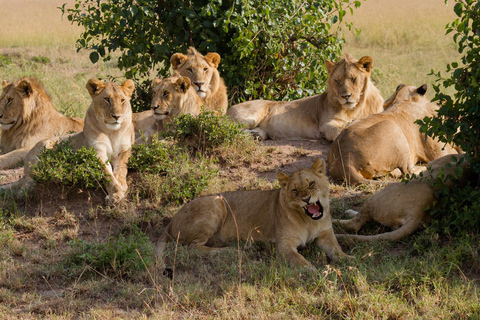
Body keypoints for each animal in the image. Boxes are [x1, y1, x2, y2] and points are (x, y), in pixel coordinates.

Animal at [9, 79, 137, 205]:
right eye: (107, 99)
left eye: (122, 100)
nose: (117, 116)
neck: (112, 132)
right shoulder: (97, 151)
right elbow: (107, 174)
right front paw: (115, 194)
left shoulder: (125, 150)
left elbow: (121, 168)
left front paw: (121, 184)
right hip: (43, 146)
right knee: (26, 183)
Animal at [158, 159, 348, 268]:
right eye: (294, 190)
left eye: (311, 184)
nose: (306, 199)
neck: (310, 221)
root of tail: (171, 220)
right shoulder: (284, 244)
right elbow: (298, 259)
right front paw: (312, 271)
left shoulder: (325, 235)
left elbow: (337, 251)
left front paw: (350, 261)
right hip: (217, 202)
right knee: (193, 247)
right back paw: (232, 251)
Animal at [227, 53, 384, 141]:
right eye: (337, 81)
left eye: (353, 79)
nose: (345, 96)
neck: (357, 108)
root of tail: (228, 108)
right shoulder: (326, 124)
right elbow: (340, 131)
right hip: (249, 117)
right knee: (230, 129)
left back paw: (257, 135)